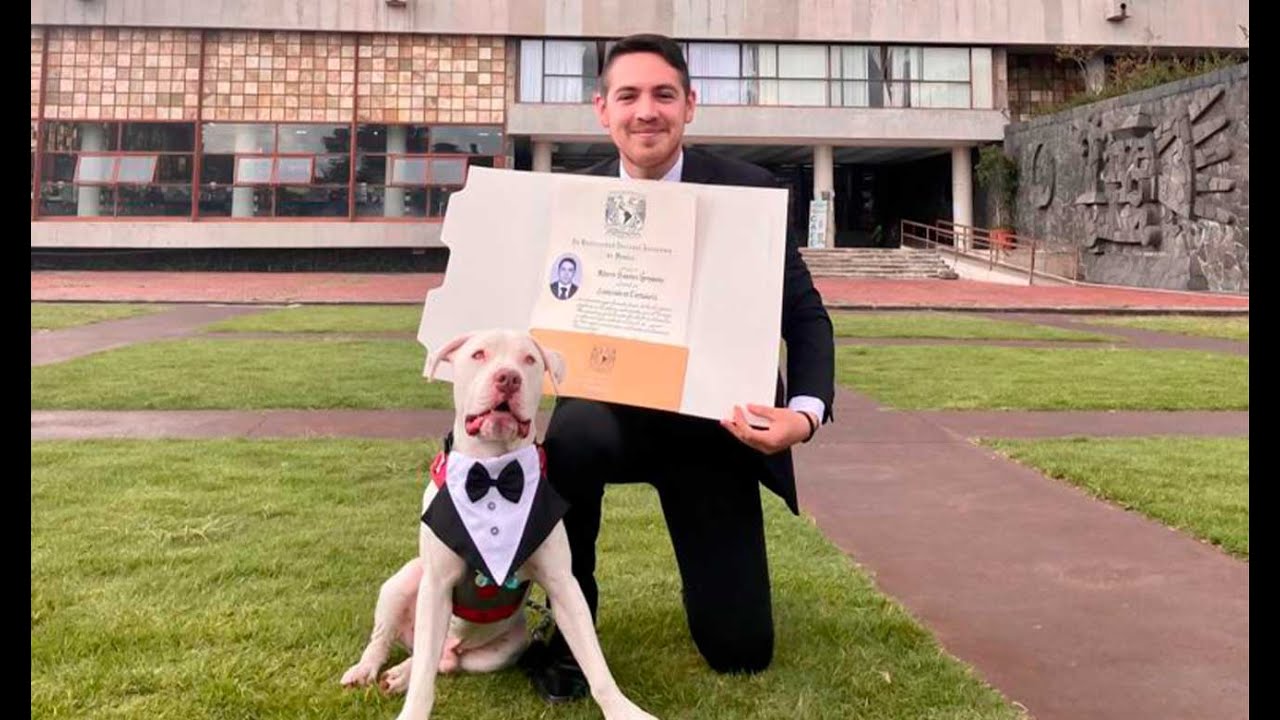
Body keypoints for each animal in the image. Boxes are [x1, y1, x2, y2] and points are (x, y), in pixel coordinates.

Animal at [343, 326, 660, 717]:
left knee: (441, 661)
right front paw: (412, 711)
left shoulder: (563, 585)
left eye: (529, 359)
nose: (508, 377)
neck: (493, 471)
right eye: (478, 354)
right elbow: (423, 682)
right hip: (403, 581)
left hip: (502, 650)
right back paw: (368, 669)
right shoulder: (436, 584)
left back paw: (401, 673)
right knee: (393, 642)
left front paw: (623, 709)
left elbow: (594, 662)